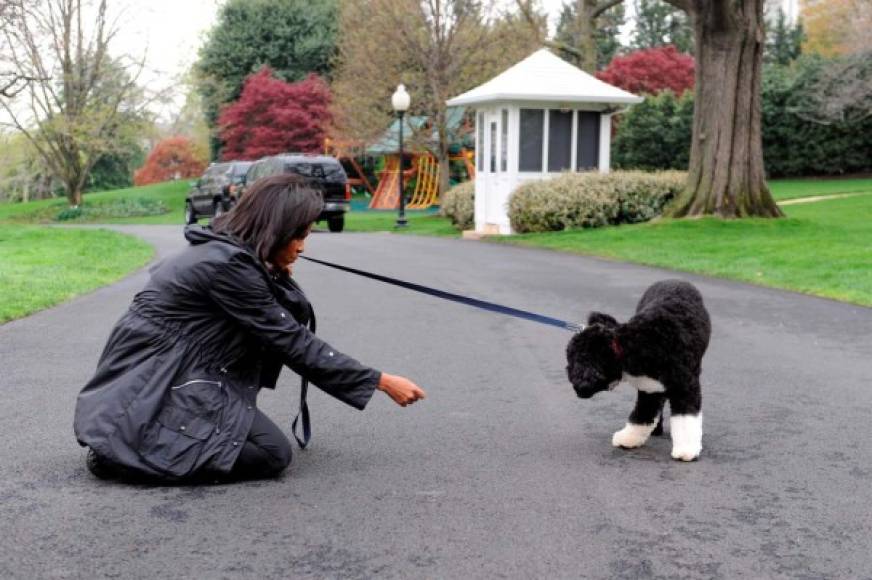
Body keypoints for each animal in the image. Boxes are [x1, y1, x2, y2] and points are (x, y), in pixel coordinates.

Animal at [568, 280, 712, 462]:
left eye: (572, 361)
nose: (576, 387)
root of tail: (676, 280)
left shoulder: (684, 387)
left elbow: (685, 419)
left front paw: (686, 450)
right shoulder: (650, 388)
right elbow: (642, 415)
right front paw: (628, 438)